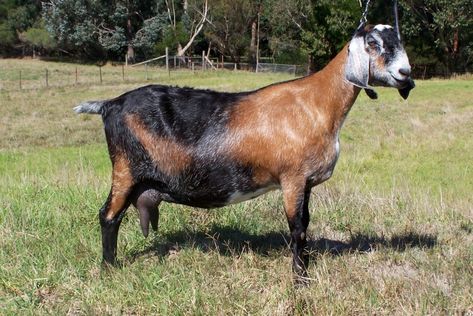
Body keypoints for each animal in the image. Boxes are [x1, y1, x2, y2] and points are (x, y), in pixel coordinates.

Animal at [74, 24, 412, 282]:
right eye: (373, 43)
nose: (405, 73)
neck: (316, 103)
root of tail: (109, 105)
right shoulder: (292, 178)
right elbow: (297, 229)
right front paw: (300, 279)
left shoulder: (306, 182)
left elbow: (306, 222)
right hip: (126, 169)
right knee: (108, 216)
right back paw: (108, 268)